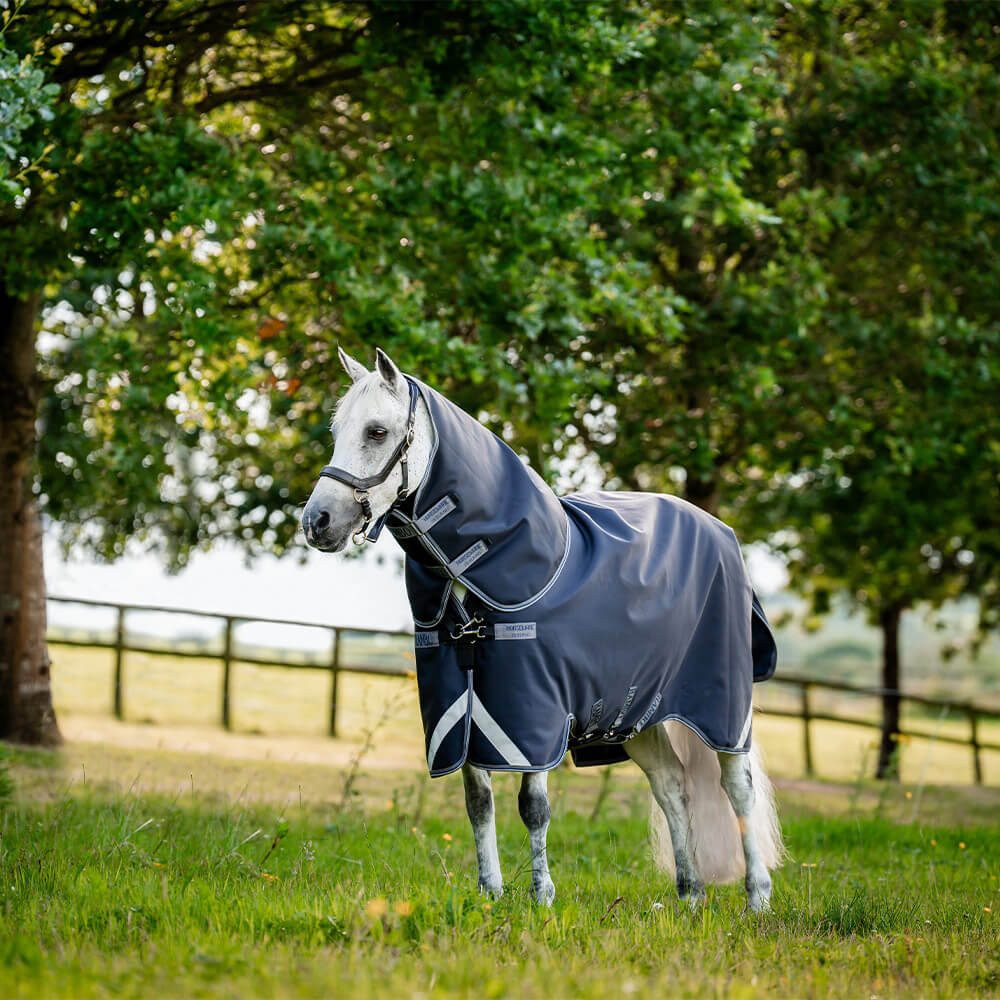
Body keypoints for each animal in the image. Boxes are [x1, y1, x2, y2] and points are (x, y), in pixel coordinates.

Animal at [302, 347, 783, 911]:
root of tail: (721, 531)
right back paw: (690, 895)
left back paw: (756, 898)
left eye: (377, 432)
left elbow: (533, 806)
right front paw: (490, 892)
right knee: (672, 786)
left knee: (738, 788)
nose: (317, 522)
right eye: (337, 430)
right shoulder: (462, 707)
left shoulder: (530, 710)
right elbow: (478, 801)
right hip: (638, 713)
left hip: (723, 707)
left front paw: (542, 896)